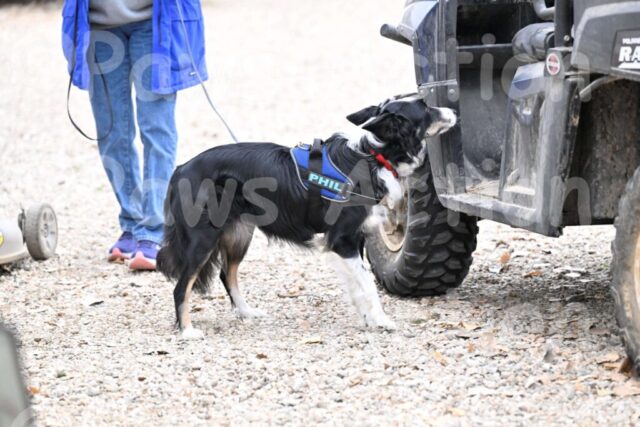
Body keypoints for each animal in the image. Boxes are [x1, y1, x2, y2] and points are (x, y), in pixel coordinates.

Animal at [157, 94, 457, 339]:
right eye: (426, 107)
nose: (453, 110)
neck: (373, 157)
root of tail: (181, 168)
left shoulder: (352, 239)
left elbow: (357, 285)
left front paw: (368, 319)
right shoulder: (342, 240)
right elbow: (368, 284)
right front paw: (381, 320)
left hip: (239, 234)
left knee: (225, 274)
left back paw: (246, 312)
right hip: (203, 238)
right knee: (181, 286)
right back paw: (187, 330)